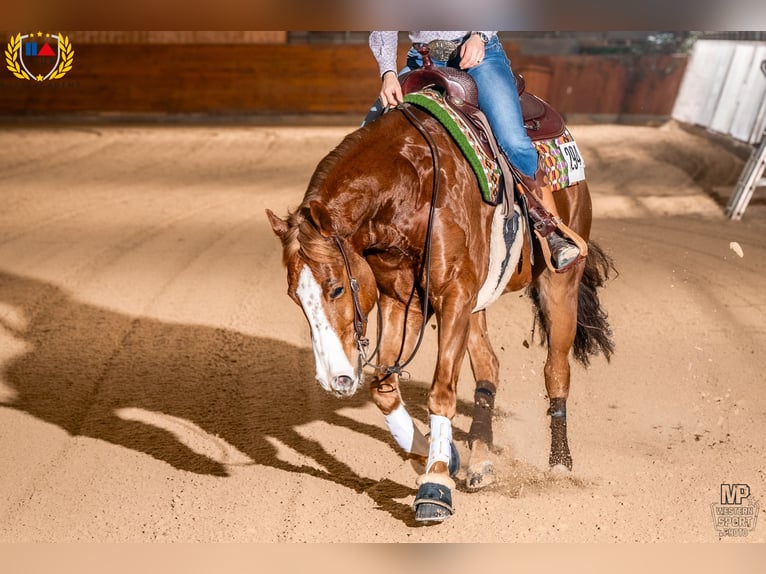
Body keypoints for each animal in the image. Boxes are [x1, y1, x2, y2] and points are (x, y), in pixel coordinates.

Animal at [266, 84, 615, 523]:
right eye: (295, 297)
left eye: (337, 290)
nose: (335, 379)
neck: (411, 189)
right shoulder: (403, 299)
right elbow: (384, 388)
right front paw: (441, 454)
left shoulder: (453, 296)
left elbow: (442, 392)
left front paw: (435, 483)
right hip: (479, 302)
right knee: (489, 367)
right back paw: (481, 460)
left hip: (559, 284)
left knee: (556, 371)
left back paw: (559, 464)